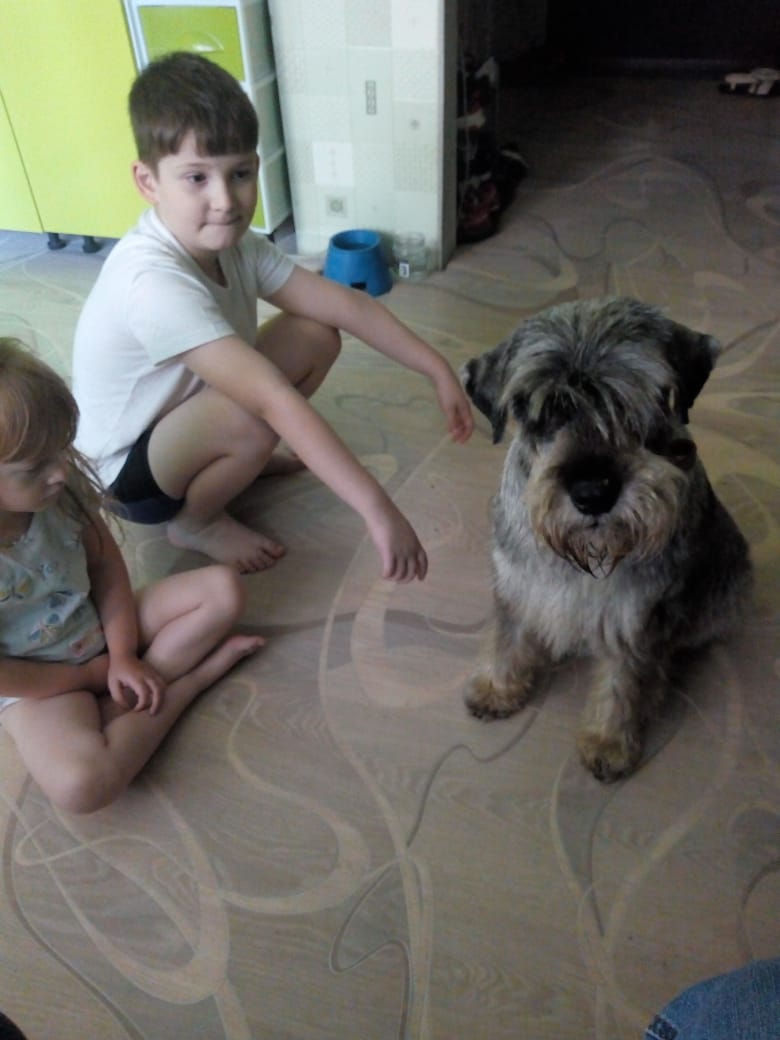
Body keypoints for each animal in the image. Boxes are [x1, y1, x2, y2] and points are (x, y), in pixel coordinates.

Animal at [461, 297, 753, 781]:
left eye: (640, 398)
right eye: (539, 410)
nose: (593, 492)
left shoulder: (635, 614)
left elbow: (623, 683)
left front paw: (608, 743)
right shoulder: (518, 586)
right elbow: (508, 639)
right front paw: (495, 688)